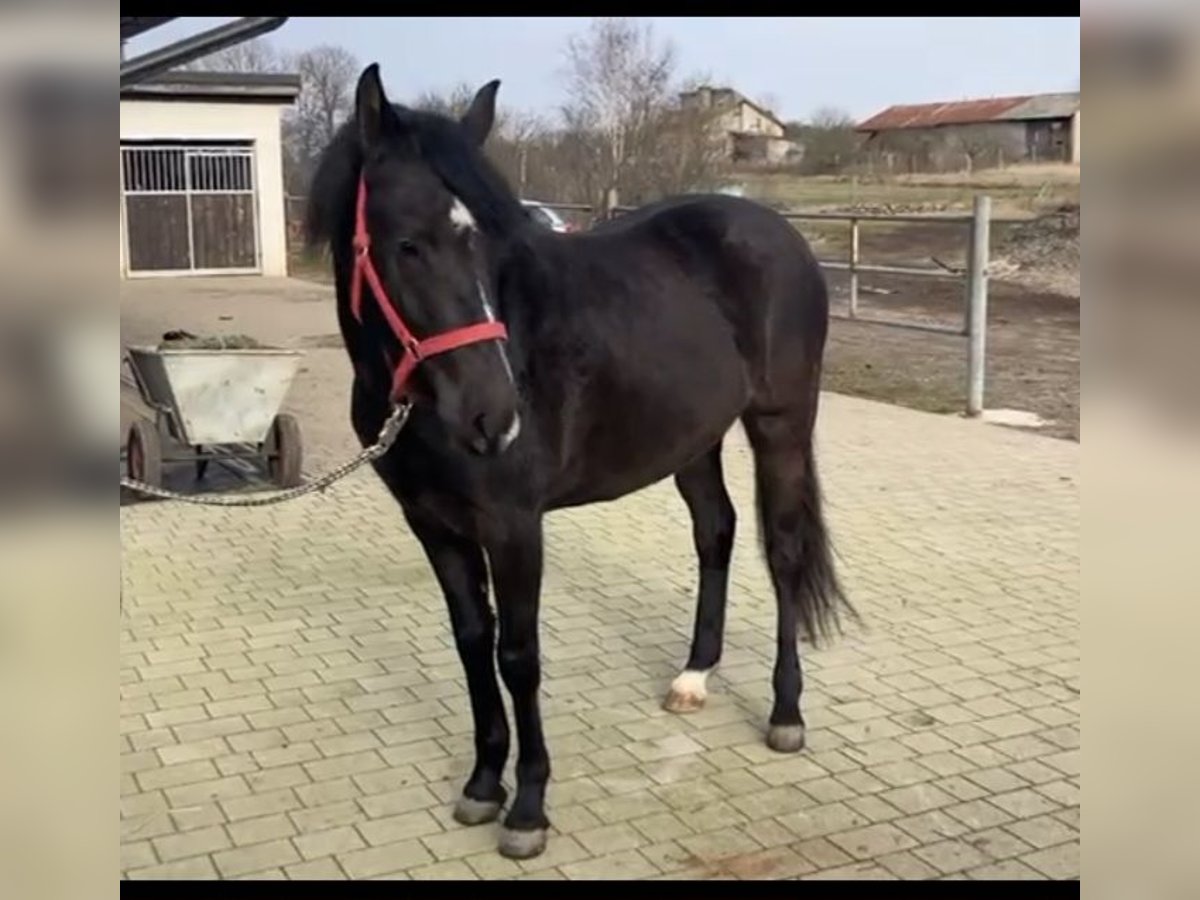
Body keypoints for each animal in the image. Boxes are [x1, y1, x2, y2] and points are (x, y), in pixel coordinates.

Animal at [309, 63, 854, 859]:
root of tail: (778, 232)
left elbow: (518, 655)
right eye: (406, 244)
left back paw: (786, 714)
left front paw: (529, 807)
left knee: (782, 553)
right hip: (693, 438)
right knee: (715, 532)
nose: (494, 416)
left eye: (487, 246)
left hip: (780, 424)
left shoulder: (513, 526)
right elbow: (471, 643)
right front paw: (483, 785)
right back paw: (694, 677)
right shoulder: (432, 524)